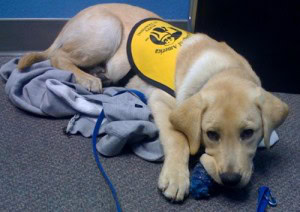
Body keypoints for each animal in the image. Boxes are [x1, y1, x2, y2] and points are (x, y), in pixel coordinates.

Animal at [18, 3, 288, 202]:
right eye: (211, 134)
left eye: (248, 133)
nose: (231, 180)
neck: (222, 70)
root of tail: (69, 22)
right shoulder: (161, 99)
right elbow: (178, 139)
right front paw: (176, 177)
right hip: (108, 30)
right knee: (57, 56)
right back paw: (88, 79)